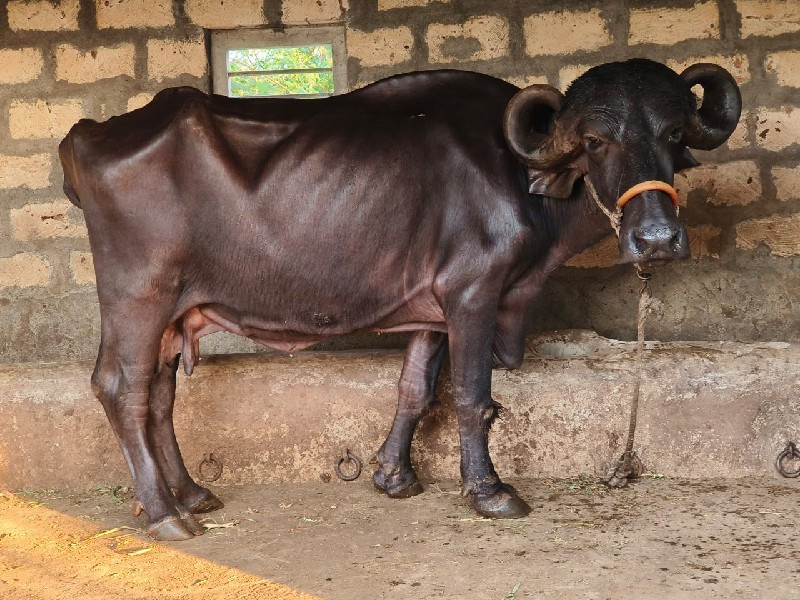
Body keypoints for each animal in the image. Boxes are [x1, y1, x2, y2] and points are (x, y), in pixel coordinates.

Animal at [59, 58, 740, 540]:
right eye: (596, 140)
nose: (657, 240)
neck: (519, 180)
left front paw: (392, 475)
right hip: (139, 295)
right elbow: (472, 397)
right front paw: (489, 491)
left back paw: (192, 494)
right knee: (122, 388)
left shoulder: (432, 308)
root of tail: (89, 134)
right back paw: (164, 514)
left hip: (173, 311)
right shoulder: (474, 294)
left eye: (672, 133)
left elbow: (416, 387)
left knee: (160, 395)